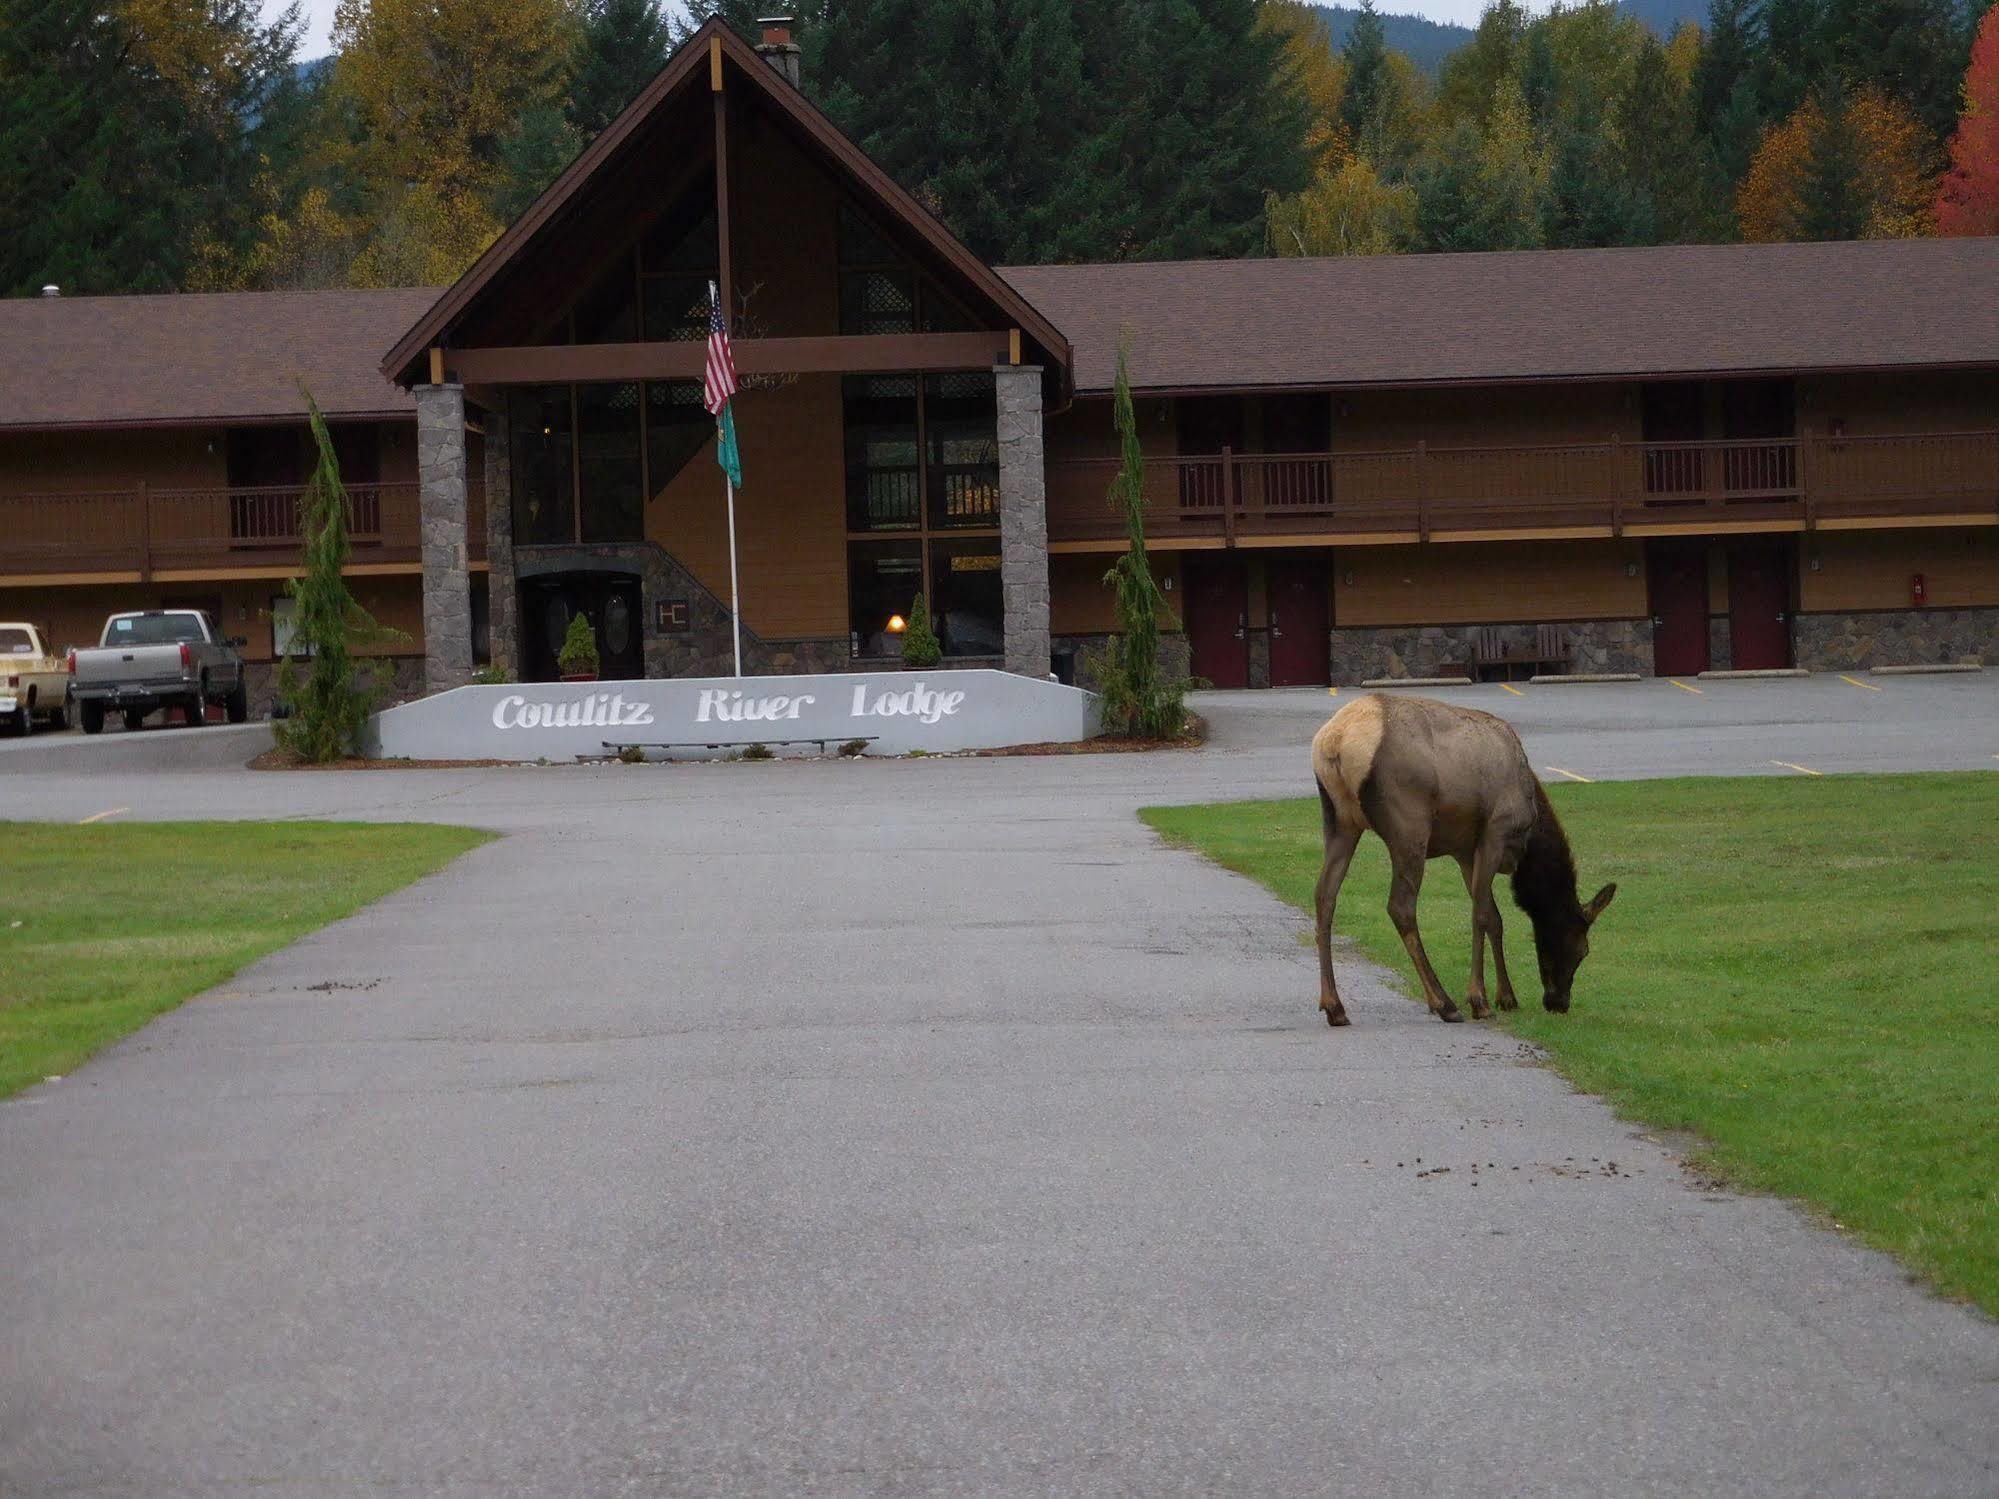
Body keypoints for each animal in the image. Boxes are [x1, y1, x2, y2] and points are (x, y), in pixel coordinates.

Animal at [1303, 699, 1615, 1031]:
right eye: (1582, 949)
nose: (1558, 1003)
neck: (1529, 837)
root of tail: (1334, 741)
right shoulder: (1494, 833)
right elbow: (1481, 915)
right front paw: (1479, 1000)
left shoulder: (1465, 852)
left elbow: (1495, 918)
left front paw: (1507, 996)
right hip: (1410, 827)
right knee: (1400, 907)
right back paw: (1445, 1003)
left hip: (1340, 821)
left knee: (1325, 896)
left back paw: (1334, 1006)